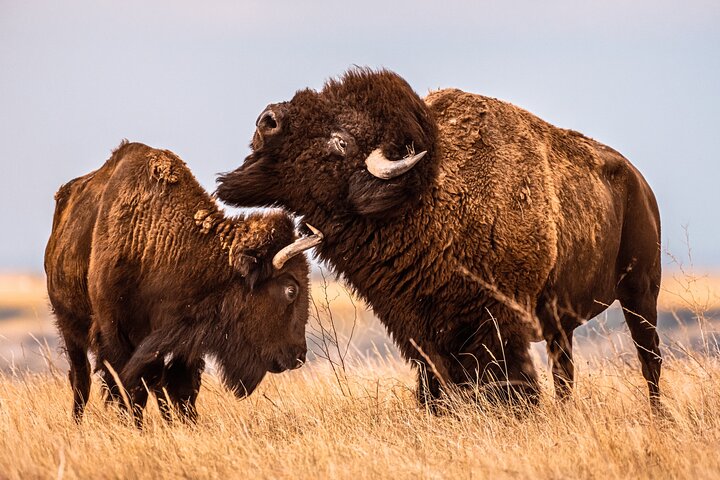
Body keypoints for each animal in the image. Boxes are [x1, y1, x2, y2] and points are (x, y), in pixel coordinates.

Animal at [45, 141, 322, 423]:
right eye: (291, 290)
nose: (299, 355)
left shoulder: (182, 340)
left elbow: (179, 388)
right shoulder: (115, 334)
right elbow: (128, 388)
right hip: (68, 328)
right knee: (81, 379)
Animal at [216, 68, 662, 409]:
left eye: (340, 141)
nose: (267, 120)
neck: (427, 194)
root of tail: (640, 184)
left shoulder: (498, 326)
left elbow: (512, 388)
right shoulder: (422, 333)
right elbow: (437, 391)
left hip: (640, 294)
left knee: (650, 362)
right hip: (562, 326)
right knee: (566, 373)